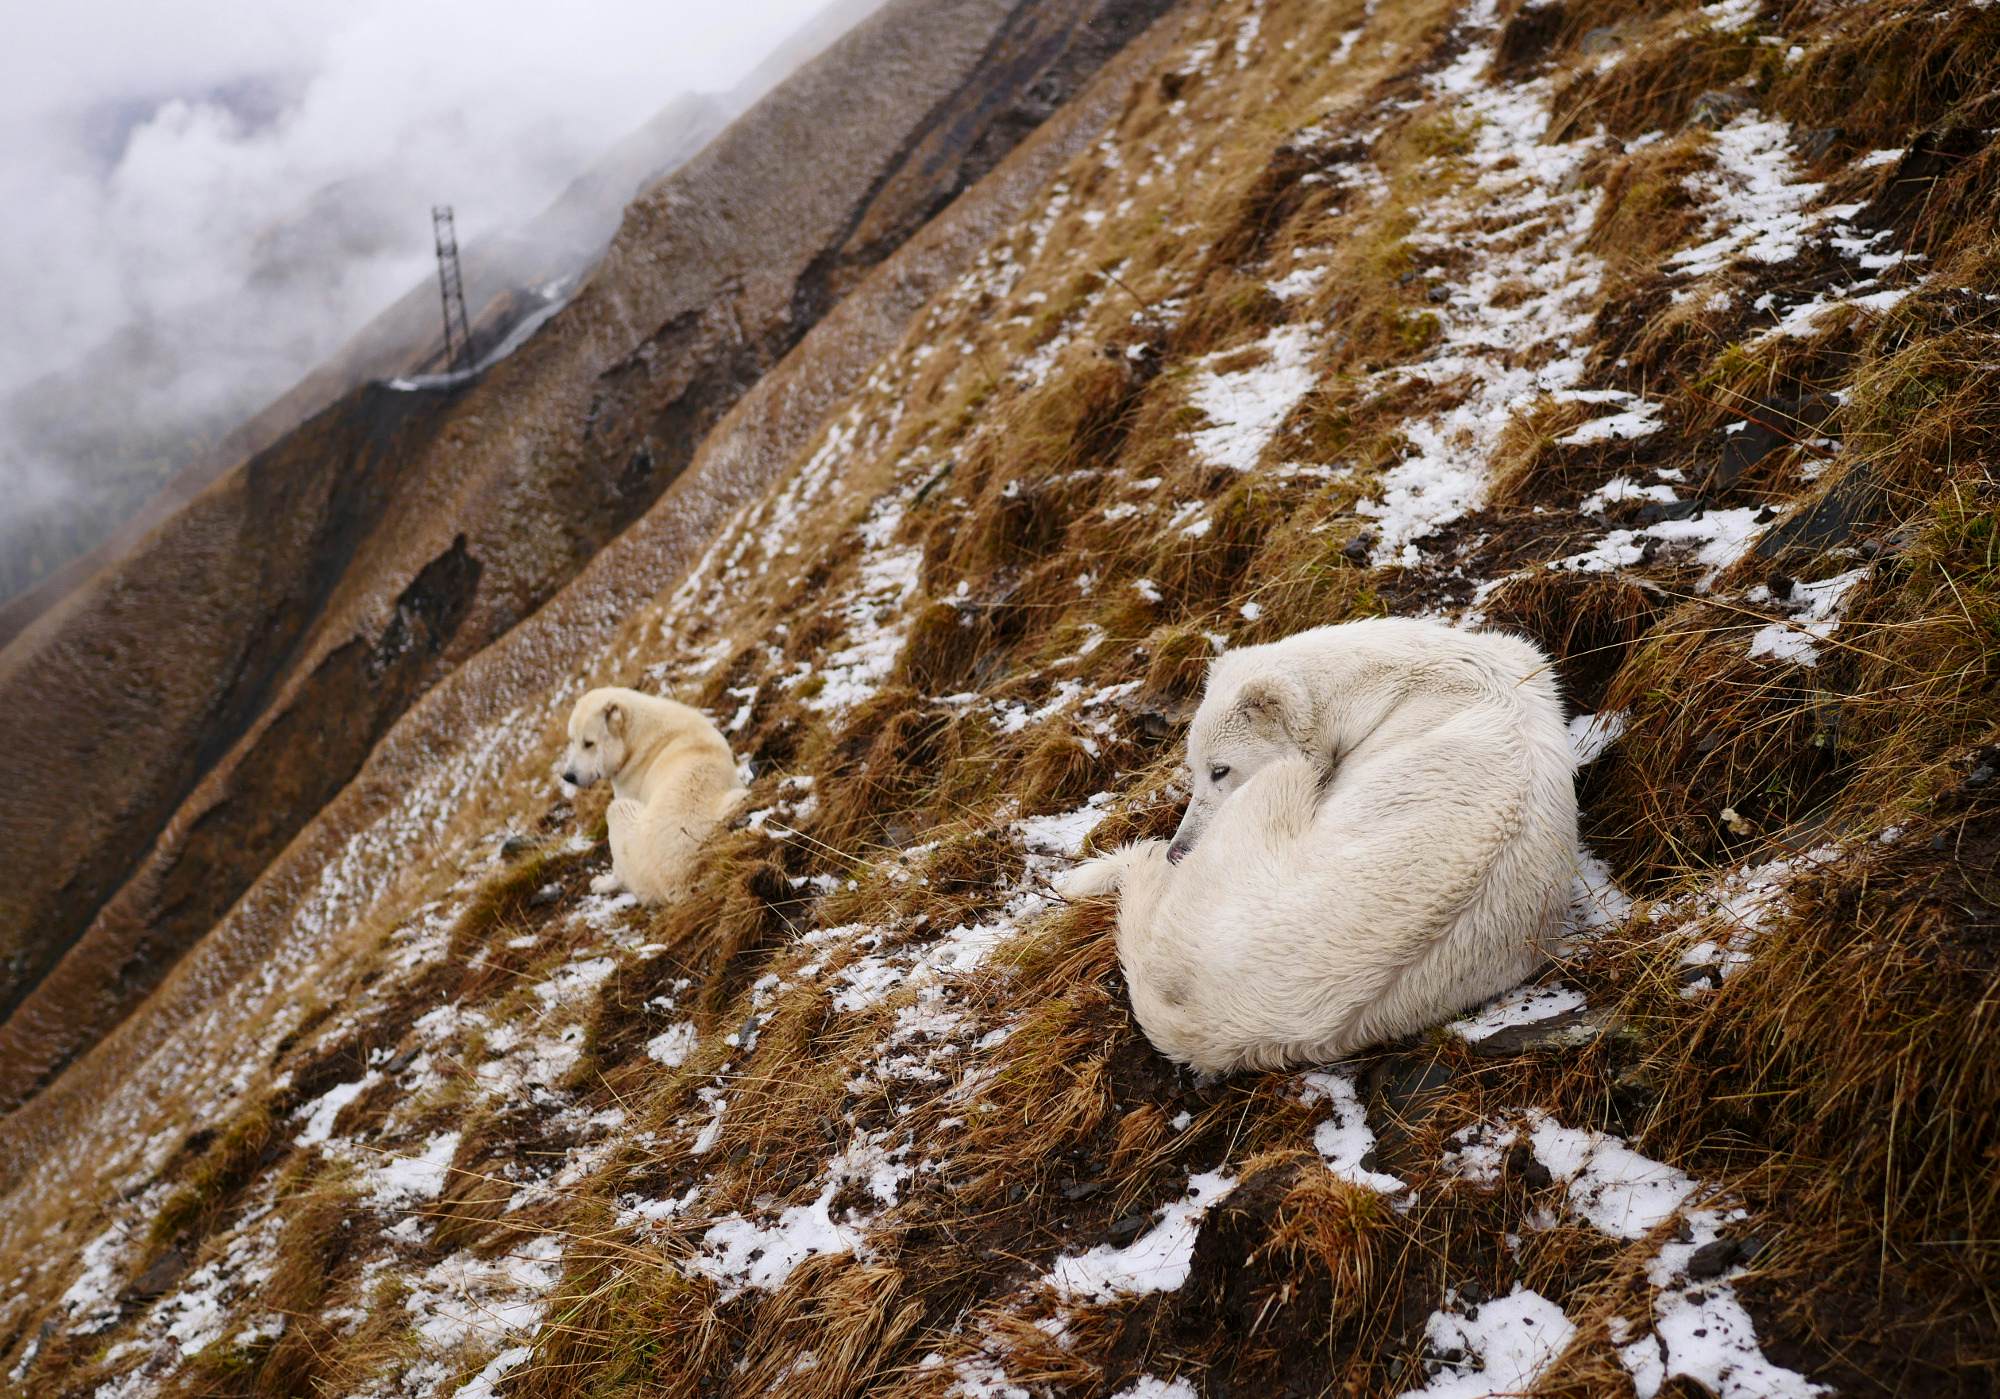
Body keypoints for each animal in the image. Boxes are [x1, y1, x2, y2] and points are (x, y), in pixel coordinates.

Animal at [564, 687, 752, 907]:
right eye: (572, 740)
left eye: (588, 743)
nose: (568, 776)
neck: (635, 739)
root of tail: (680, 885)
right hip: (734, 801)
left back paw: (603, 883)